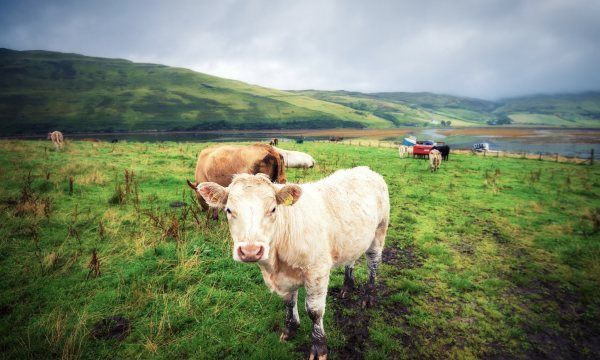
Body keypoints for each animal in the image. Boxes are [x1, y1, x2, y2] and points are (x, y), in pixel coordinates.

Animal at [191, 167, 390, 358]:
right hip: (352, 241)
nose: (250, 251)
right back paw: (347, 287)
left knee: (373, 263)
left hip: (379, 231)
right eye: (229, 210)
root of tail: (365, 170)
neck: (276, 265)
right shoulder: (284, 278)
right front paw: (290, 329)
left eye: (273, 209)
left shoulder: (317, 272)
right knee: (351, 260)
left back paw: (368, 297)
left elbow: (314, 311)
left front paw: (319, 347)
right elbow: (288, 302)